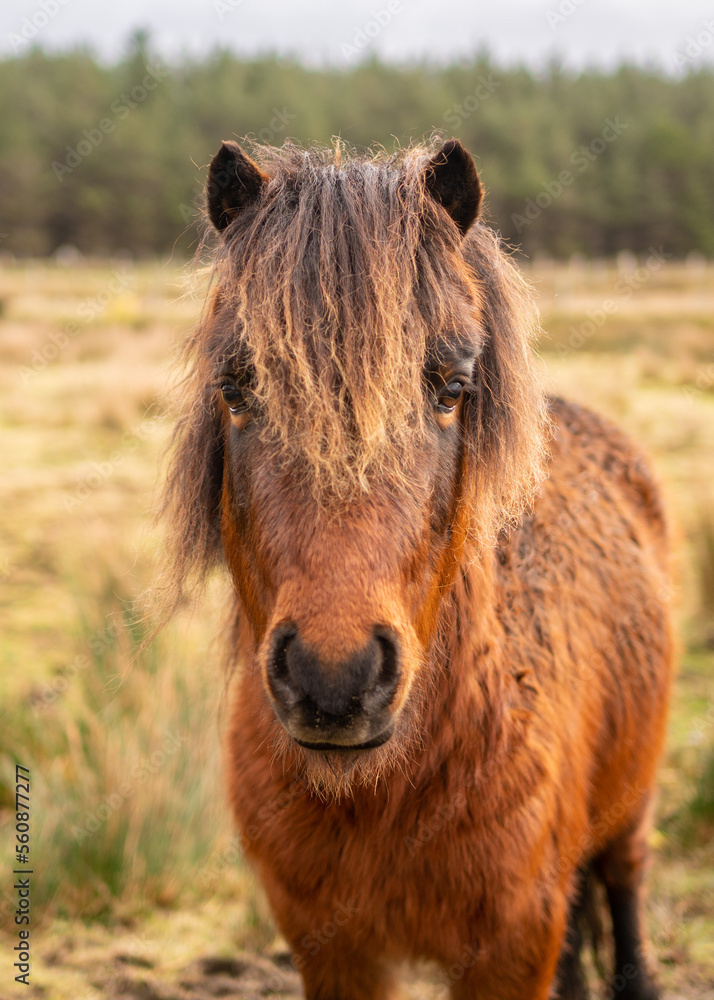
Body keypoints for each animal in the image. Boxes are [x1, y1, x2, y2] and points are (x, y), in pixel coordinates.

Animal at [160, 139, 672, 1000]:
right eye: (235, 388)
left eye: (453, 388)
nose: (335, 679)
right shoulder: (333, 952)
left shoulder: (510, 949)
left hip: (629, 809)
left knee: (627, 889)